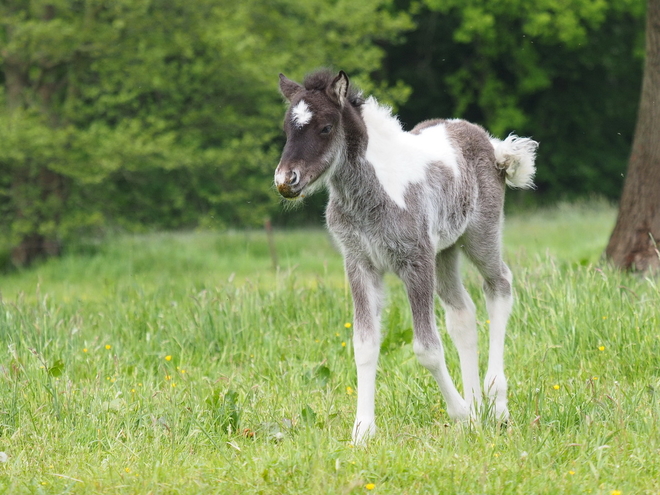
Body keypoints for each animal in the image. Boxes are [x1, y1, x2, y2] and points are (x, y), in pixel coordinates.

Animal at [274, 70, 536, 446]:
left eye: (325, 127)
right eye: (287, 128)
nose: (285, 180)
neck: (370, 194)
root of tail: (488, 141)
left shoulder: (416, 262)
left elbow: (427, 349)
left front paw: (460, 415)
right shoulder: (360, 264)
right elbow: (364, 345)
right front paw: (362, 430)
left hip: (479, 238)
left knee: (499, 286)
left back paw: (496, 405)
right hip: (445, 253)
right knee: (463, 314)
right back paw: (477, 406)